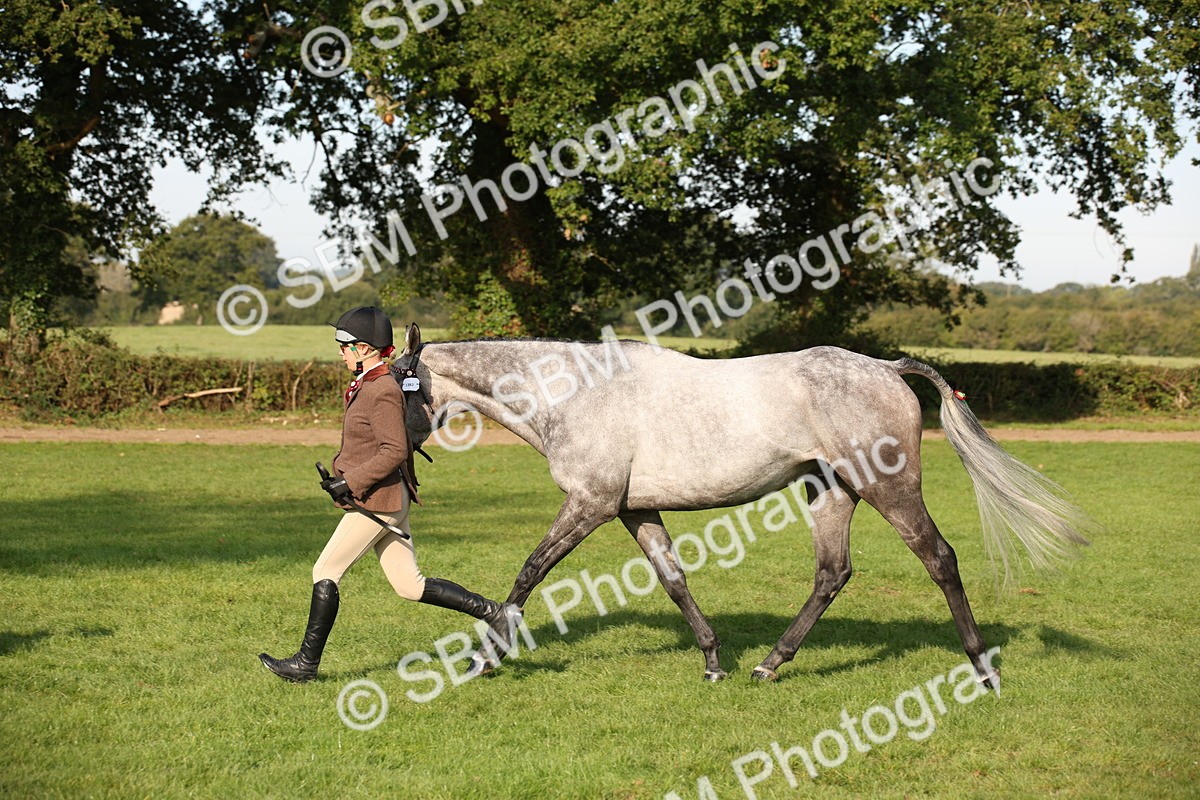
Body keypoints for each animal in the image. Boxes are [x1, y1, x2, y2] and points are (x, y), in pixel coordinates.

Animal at [393, 323, 1090, 686]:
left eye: (382, 385)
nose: (375, 466)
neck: (571, 392)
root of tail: (888, 369)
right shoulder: (632, 509)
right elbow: (673, 580)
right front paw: (712, 662)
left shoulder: (590, 503)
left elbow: (529, 573)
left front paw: (486, 657)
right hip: (829, 491)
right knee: (832, 574)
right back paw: (768, 666)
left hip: (889, 489)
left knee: (939, 558)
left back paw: (983, 670)